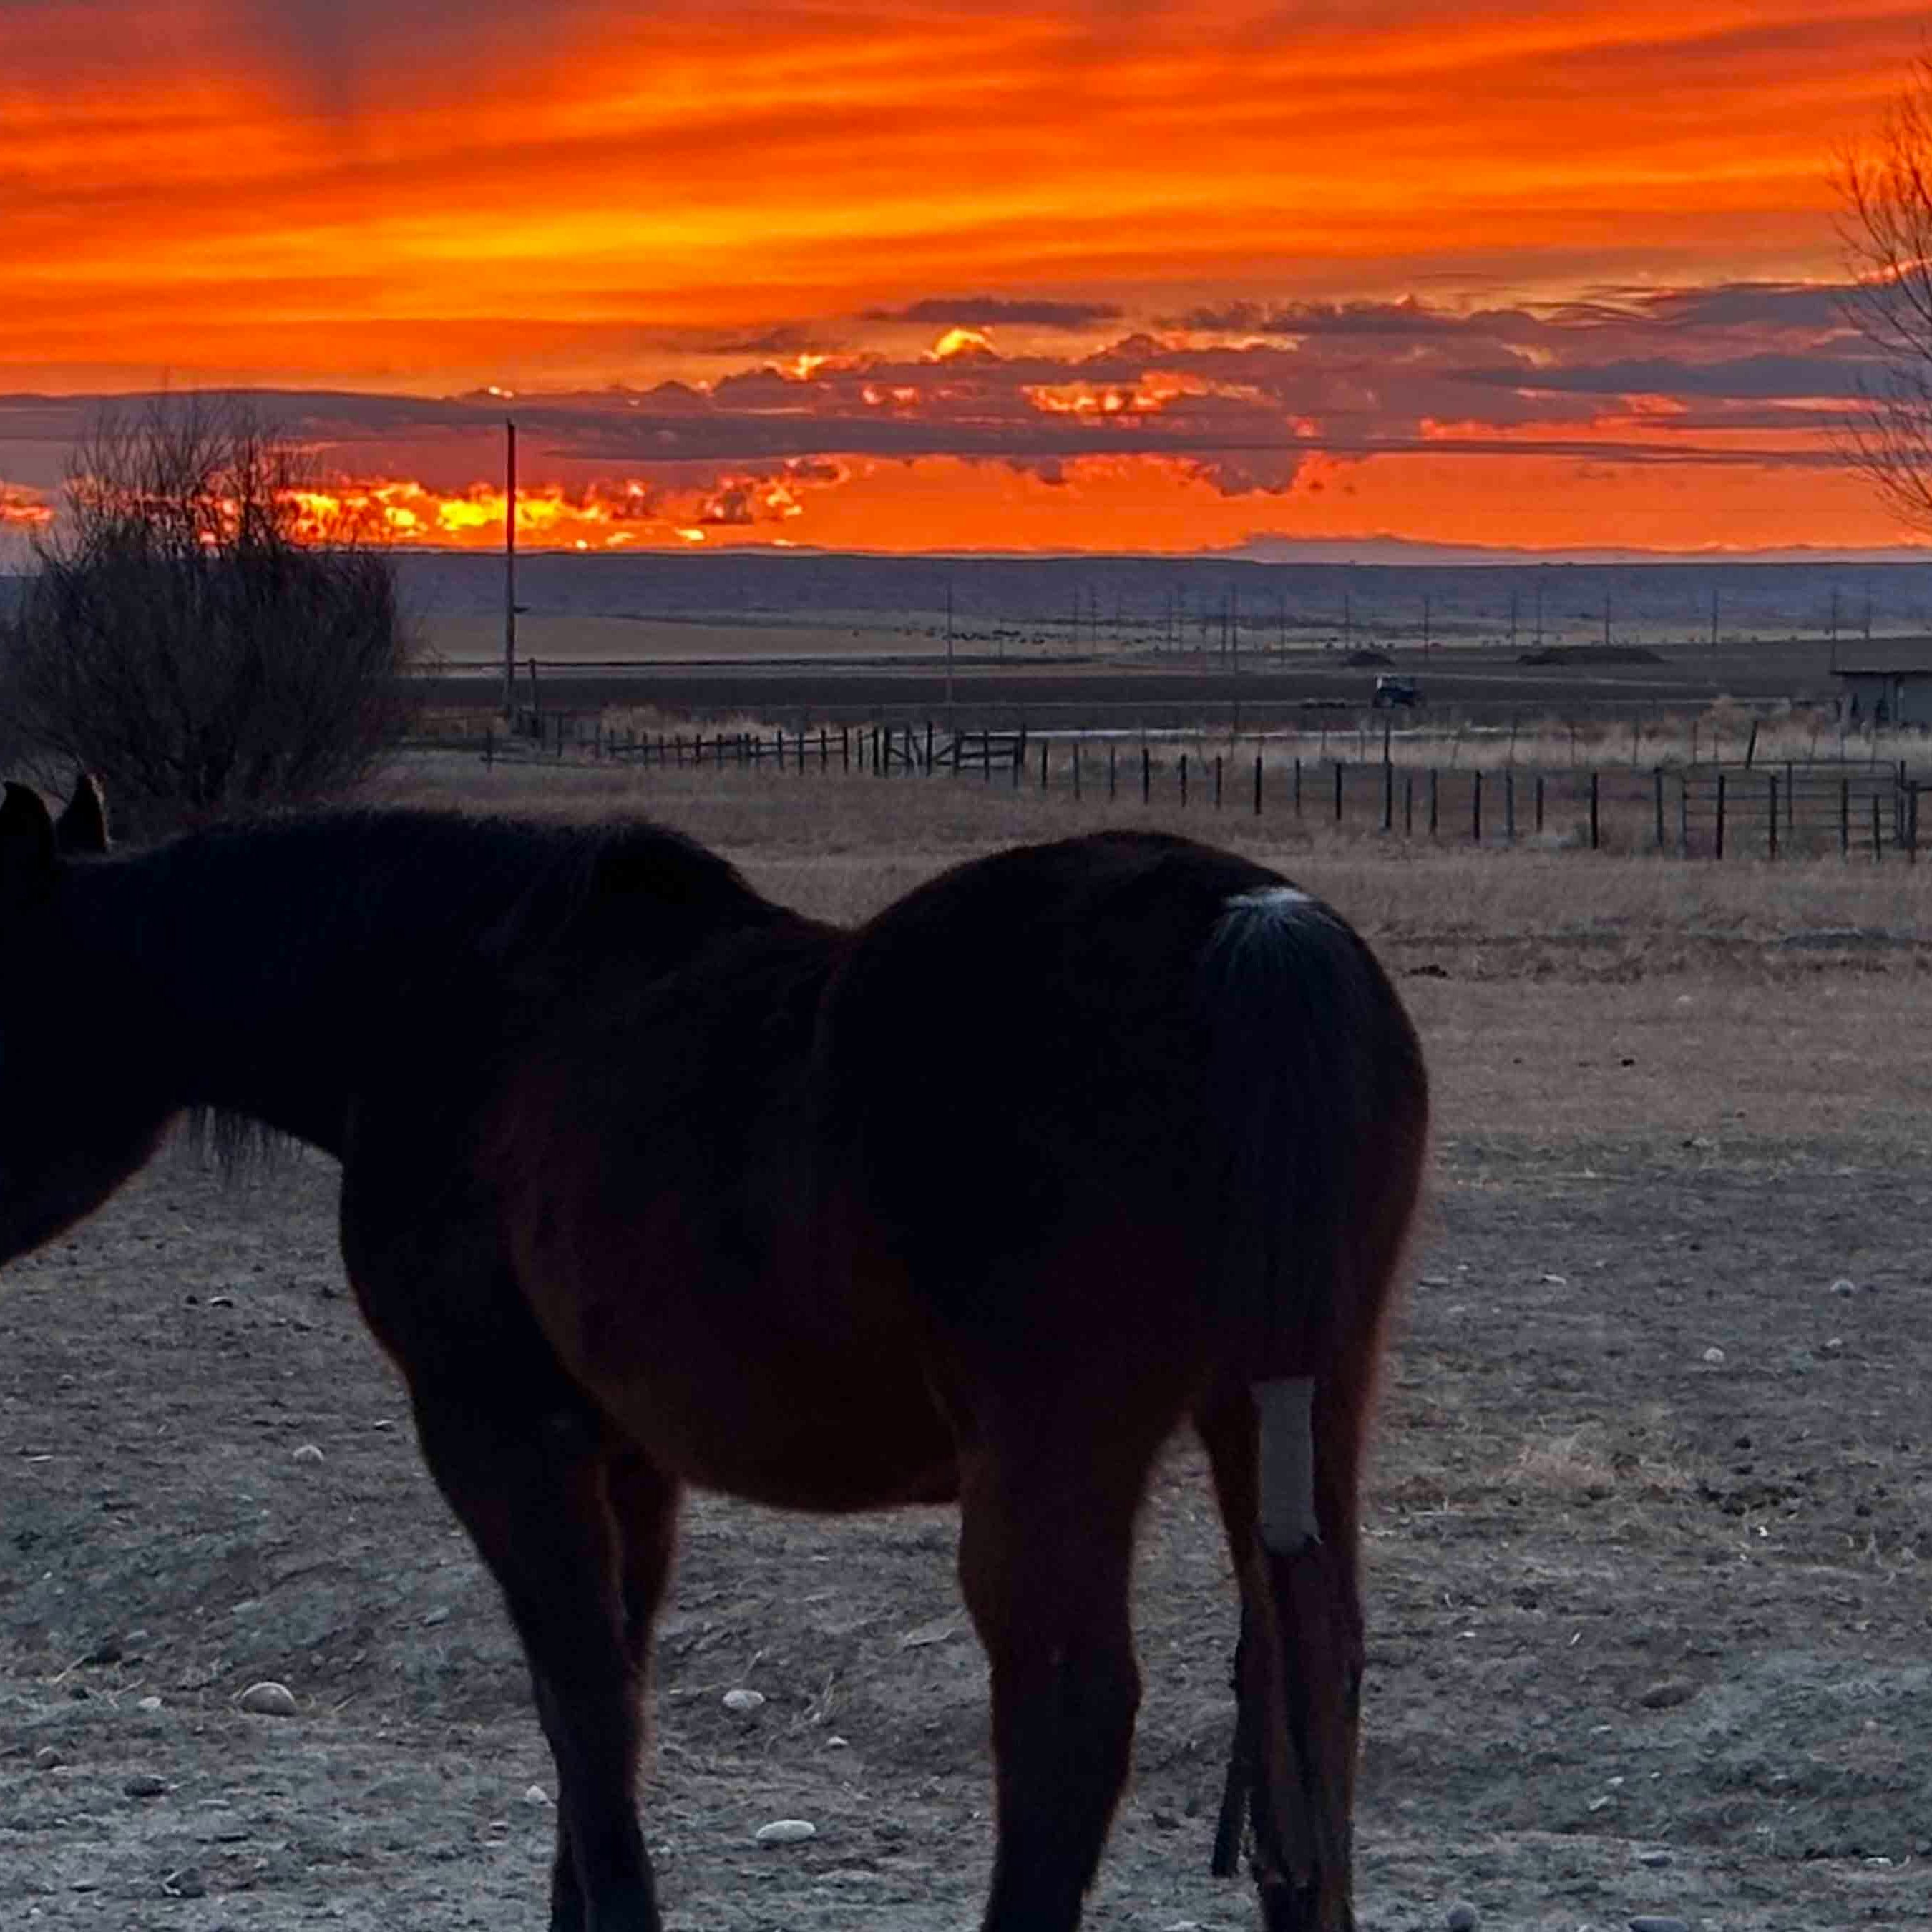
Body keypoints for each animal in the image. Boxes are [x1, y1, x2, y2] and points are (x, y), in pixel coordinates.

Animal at [0, 777, 1428, 1932]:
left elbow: (580, 1693)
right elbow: (604, 1697)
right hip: (1289, 1410)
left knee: (1071, 1716)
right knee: (1310, 1686)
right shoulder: (626, 1457)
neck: (445, 1006)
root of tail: (1255, 923)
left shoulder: (493, 1432)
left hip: (1057, 1458)